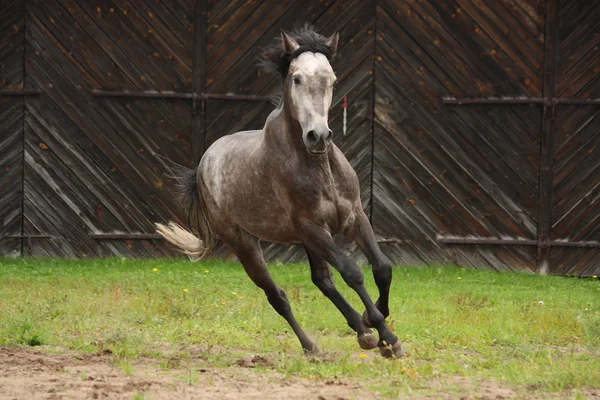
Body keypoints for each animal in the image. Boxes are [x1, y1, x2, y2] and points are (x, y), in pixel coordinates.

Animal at [157, 25, 406, 360]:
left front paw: (374, 322)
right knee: (278, 296)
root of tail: (204, 163)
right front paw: (387, 337)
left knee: (322, 280)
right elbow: (352, 272)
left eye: (332, 78)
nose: (318, 136)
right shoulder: (313, 228)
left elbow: (382, 268)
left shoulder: (353, 218)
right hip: (246, 244)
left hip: (305, 239)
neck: (318, 166)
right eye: (296, 78)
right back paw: (313, 347)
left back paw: (362, 331)